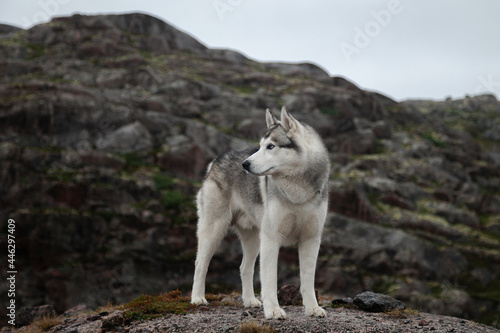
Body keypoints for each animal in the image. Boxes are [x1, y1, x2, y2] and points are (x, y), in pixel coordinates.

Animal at [190, 107, 328, 320]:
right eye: (261, 146)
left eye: (271, 146)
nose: (245, 164)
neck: (298, 194)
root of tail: (215, 161)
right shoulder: (272, 238)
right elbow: (269, 279)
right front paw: (273, 310)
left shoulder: (311, 239)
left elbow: (308, 280)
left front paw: (312, 308)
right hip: (213, 230)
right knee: (200, 264)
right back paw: (197, 298)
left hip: (254, 238)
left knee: (244, 268)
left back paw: (249, 300)